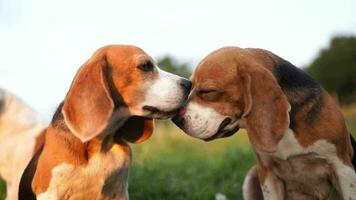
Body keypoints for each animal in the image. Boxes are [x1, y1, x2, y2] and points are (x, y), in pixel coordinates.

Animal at [173, 46, 356, 198]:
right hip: (252, 175)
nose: (176, 119)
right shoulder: (267, 174)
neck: (288, 131)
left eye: (208, 91)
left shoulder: (343, 168)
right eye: (190, 85)